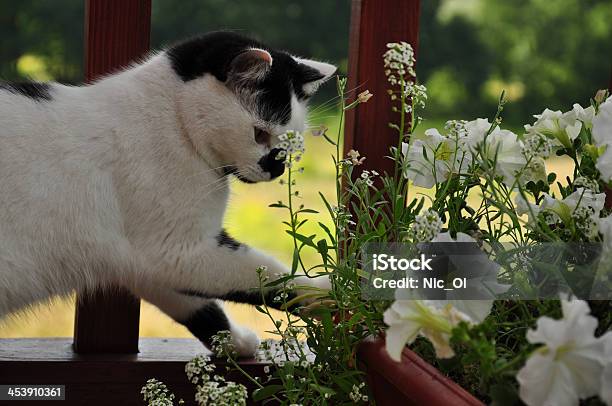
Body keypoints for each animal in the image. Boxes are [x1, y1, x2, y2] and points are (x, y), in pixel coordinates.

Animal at [0, 31, 334, 356]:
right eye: (260, 134)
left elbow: (196, 305)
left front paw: (233, 344)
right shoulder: (179, 252)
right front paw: (329, 291)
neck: (175, 121)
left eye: (291, 143)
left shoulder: (142, 262)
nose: (276, 169)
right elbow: (269, 275)